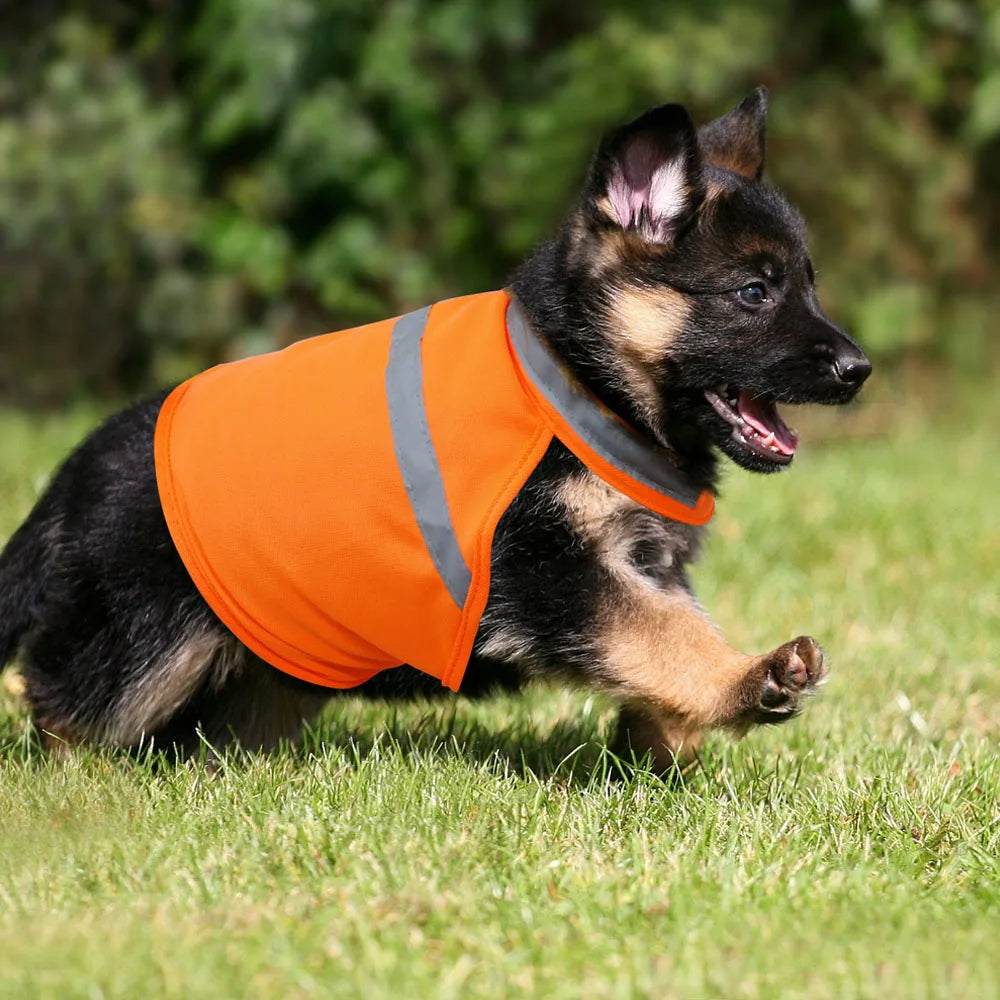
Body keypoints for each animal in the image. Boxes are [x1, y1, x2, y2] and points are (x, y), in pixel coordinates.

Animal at [0, 92, 868, 764]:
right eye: (754, 291)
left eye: (808, 285)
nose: (858, 369)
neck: (578, 379)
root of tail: (76, 473)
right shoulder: (551, 571)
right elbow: (661, 634)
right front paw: (745, 679)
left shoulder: (643, 564)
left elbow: (666, 636)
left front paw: (668, 738)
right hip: (142, 643)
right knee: (61, 698)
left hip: (267, 667)